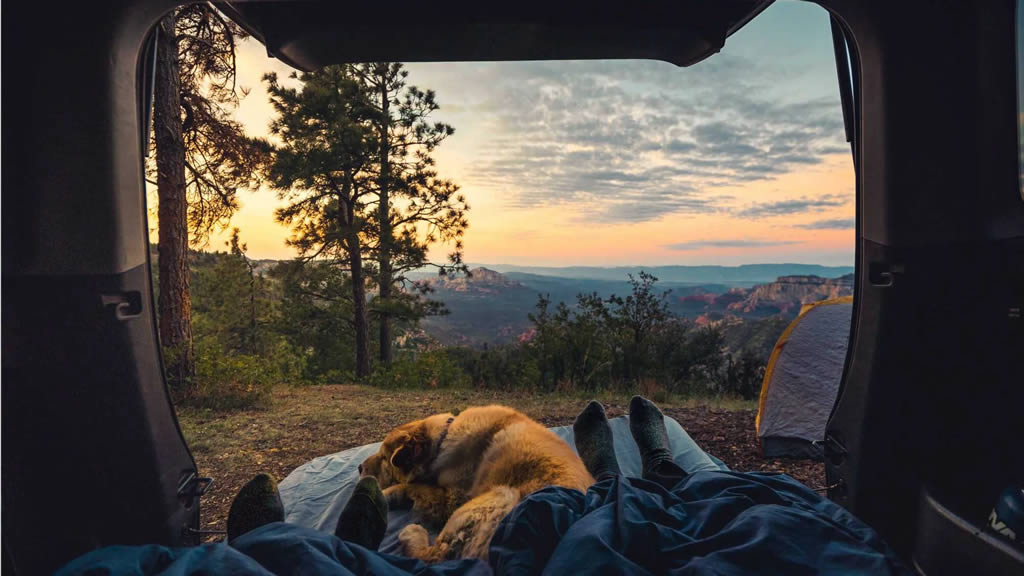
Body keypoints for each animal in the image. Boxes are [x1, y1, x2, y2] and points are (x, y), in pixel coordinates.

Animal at [360, 403, 593, 561]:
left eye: (383, 458)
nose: (360, 468)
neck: (442, 439)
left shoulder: (452, 499)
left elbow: (411, 485)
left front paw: (385, 493)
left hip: (496, 497)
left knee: (434, 557)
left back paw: (412, 533)